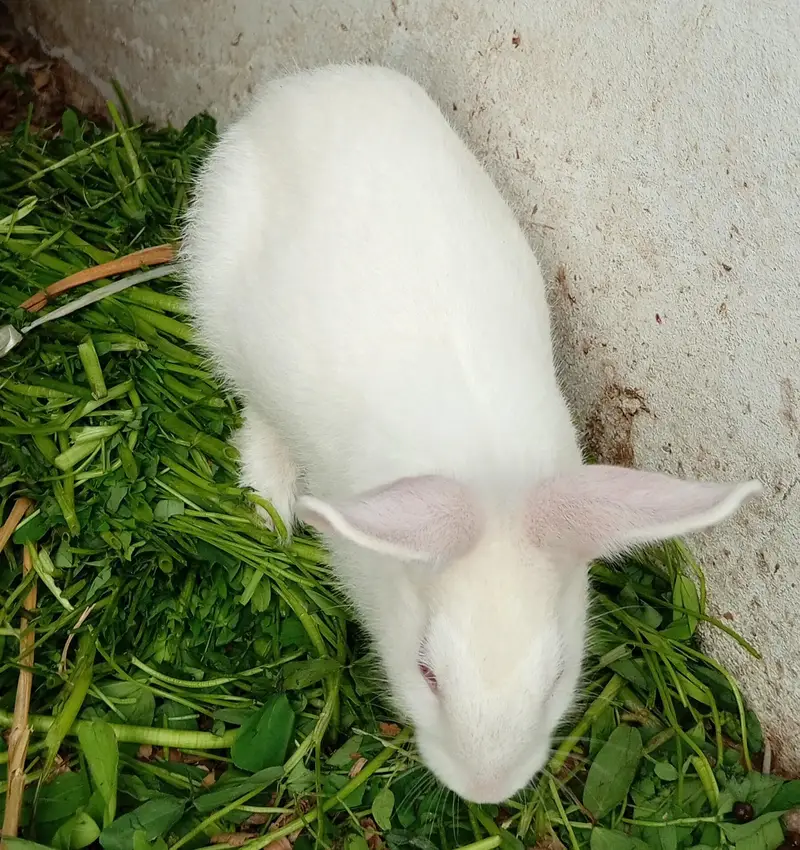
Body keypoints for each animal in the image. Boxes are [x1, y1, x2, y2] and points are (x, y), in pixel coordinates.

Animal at [180, 64, 762, 804]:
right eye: (427, 673)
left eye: (556, 677)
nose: (487, 790)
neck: (493, 484)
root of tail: (301, 86)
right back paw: (271, 505)